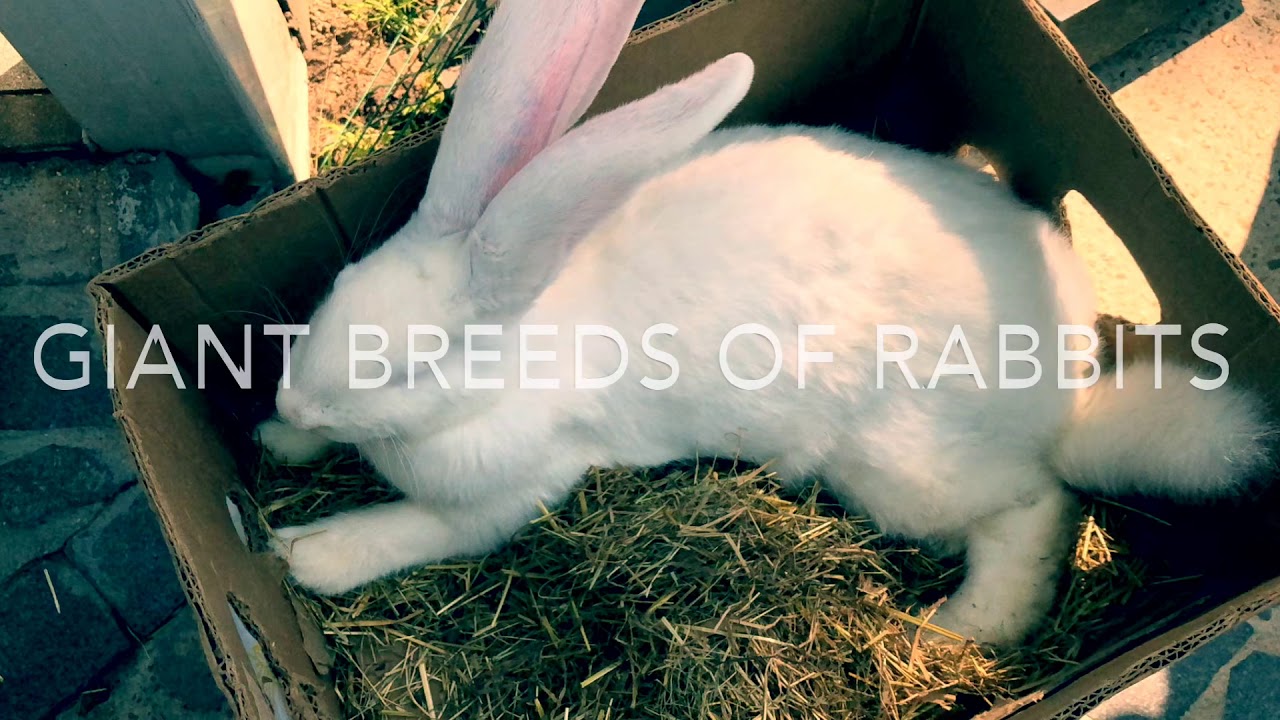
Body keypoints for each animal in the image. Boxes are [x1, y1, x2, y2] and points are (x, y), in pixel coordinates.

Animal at [254, 0, 1274, 646]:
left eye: (413, 367)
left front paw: (311, 556)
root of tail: (1066, 400)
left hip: (908, 469)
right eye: (335, 291)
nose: (297, 403)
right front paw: (276, 442)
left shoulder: (519, 485)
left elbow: (425, 529)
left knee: (1036, 506)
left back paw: (958, 631)